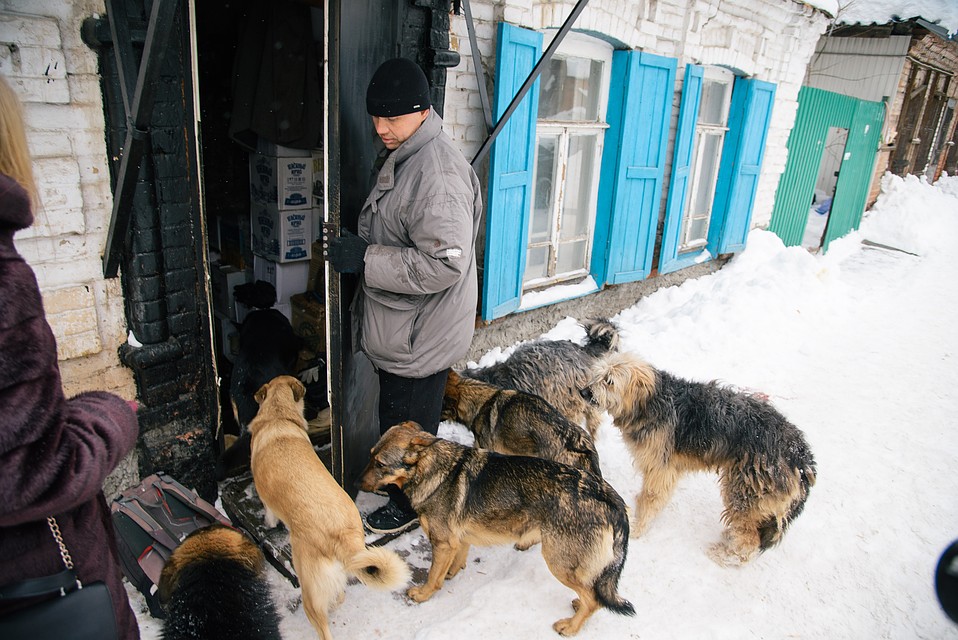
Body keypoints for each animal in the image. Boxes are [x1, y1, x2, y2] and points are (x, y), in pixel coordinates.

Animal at [249, 376, 410, 640]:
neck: (279, 416)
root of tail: (341, 535)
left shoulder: (265, 498)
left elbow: (269, 514)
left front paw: (268, 524)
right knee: (340, 594)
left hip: (309, 588)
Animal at [356, 420, 632, 636]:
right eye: (369, 455)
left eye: (380, 464)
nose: (356, 484)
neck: (433, 469)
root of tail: (610, 498)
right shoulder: (458, 539)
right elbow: (456, 561)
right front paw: (452, 572)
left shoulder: (442, 543)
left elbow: (433, 576)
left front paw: (424, 594)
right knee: (589, 593)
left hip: (559, 561)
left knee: (594, 600)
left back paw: (571, 627)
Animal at [576, 352, 816, 568]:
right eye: (597, 374)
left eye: (609, 381)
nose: (584, 391)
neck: (651, 401)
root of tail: (801, 456)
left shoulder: (661, 467)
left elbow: (651, 497)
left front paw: (638, 527)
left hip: (745, 491)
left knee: (749, 541)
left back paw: (726, 557)